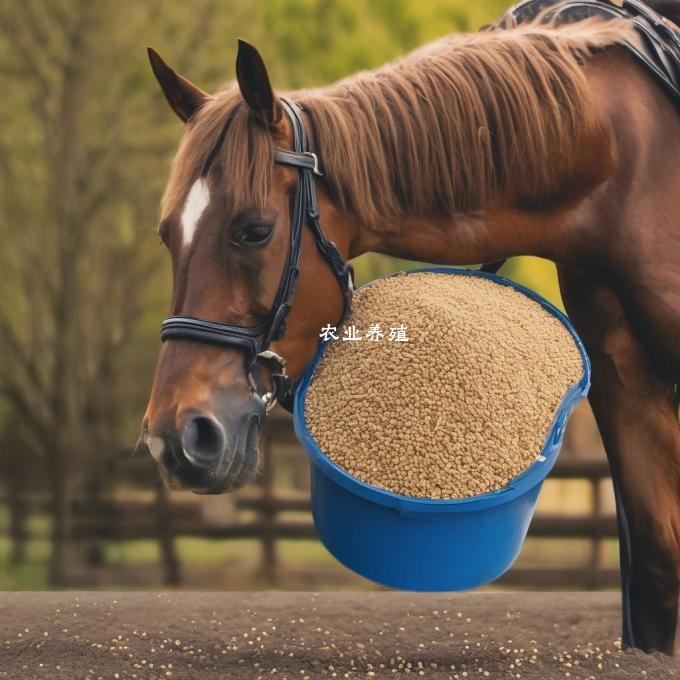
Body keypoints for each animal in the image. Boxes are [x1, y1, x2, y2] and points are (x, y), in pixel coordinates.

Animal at [141, 3, 680, 652]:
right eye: (168, 235)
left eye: (254, 230)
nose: (175, 438)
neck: (630, 165)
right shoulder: (629, 389)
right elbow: (659, 564)